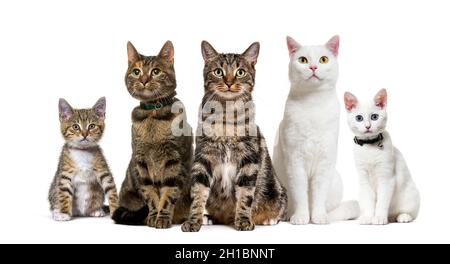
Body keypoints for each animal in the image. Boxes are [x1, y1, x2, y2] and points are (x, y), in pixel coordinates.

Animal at [112, 40, 193, 228]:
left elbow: (169, 193)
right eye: (136, 72)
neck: (153, 115)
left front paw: (162, 217)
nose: (143, 80)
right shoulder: (141, 161)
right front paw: (153, 216)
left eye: (156, 72)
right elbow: (150, 193)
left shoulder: (174, 160)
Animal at [181, 40, 286, 232]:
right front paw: (194, 220)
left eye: (240, 72)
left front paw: (243, 219)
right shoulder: (203, 157)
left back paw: (269, 218)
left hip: (277, 189)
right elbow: (198, 192)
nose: (229, 82)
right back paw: (209, 218)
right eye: (218, 71)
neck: (226, 114)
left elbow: (245, 194)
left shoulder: (248, 159)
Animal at [272, 35, 360, 225]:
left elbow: (318, 195)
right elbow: (300, 194)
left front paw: (318, 217)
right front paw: (301, 217)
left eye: (323, 59)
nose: (313, 67)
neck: (313, 105)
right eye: (303, 60)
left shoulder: (325, 163)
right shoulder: (295, 161)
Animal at [344, 89, 422, 225]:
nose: (368, 126)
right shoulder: (364, 178)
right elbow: (369, 201)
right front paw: (368, 217)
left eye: (374, 117)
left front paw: (379, 217)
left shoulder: (387, 179)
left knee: (410, 213)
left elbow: (382, 201)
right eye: (359, 118)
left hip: (411, 195)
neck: (369, 147)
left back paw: (403, 216)